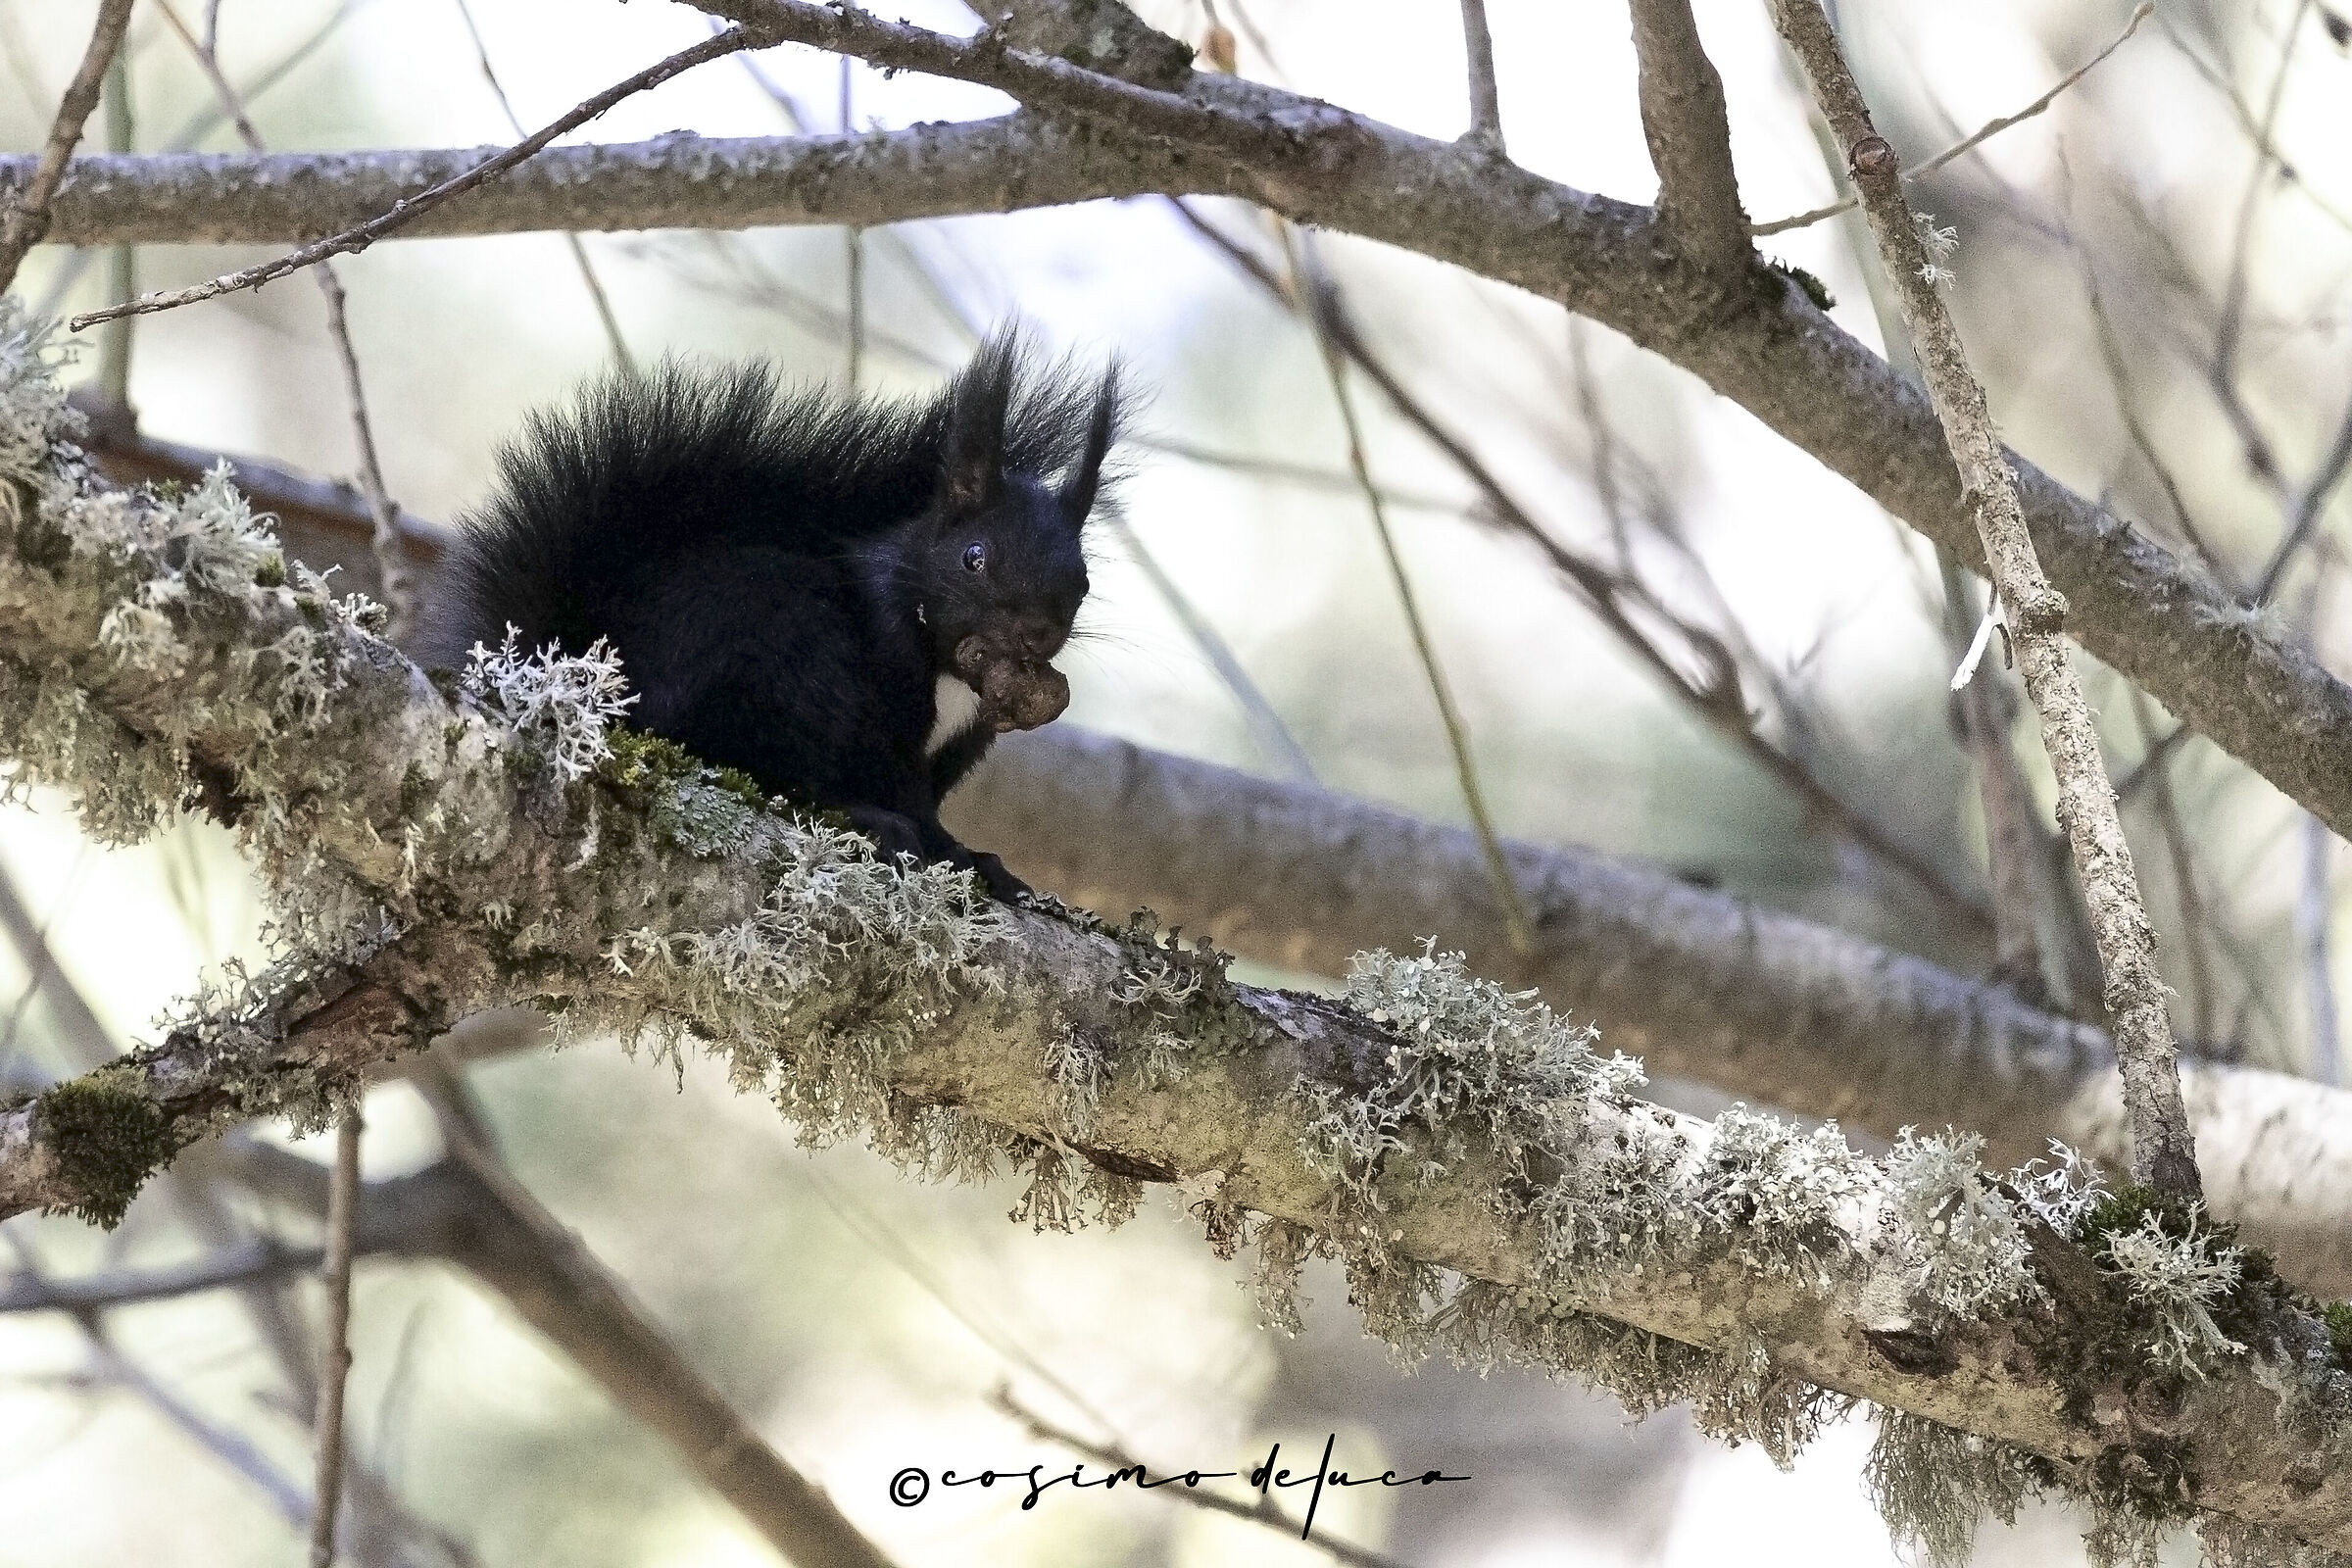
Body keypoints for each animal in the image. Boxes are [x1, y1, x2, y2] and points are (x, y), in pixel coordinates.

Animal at [420, 332, 1122, 901]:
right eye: (975, 557)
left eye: (1085, 581)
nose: (1038, 632)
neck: (948, 663)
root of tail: (594, 694)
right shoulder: (888, 699)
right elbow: (903, 789)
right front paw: (952, 854)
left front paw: (973, 857)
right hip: (782, 657)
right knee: (763, 766)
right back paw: (860, 818)